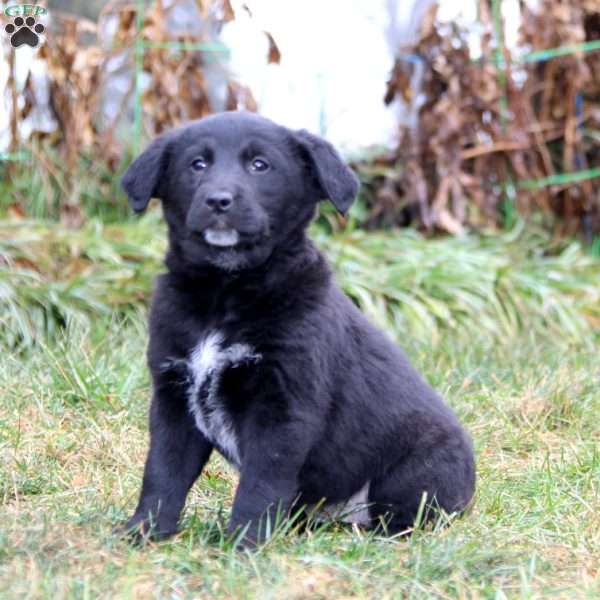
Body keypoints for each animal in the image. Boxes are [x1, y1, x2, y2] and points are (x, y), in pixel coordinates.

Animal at [122, 110, 476, 548]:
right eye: (197, 164)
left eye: (260, 165)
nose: (218, 200)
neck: (226, 292)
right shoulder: (174, 395)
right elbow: (163, 472)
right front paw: (145, 530)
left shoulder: (283, 405)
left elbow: (261, 483)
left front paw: (244, 543)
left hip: (419, 468)